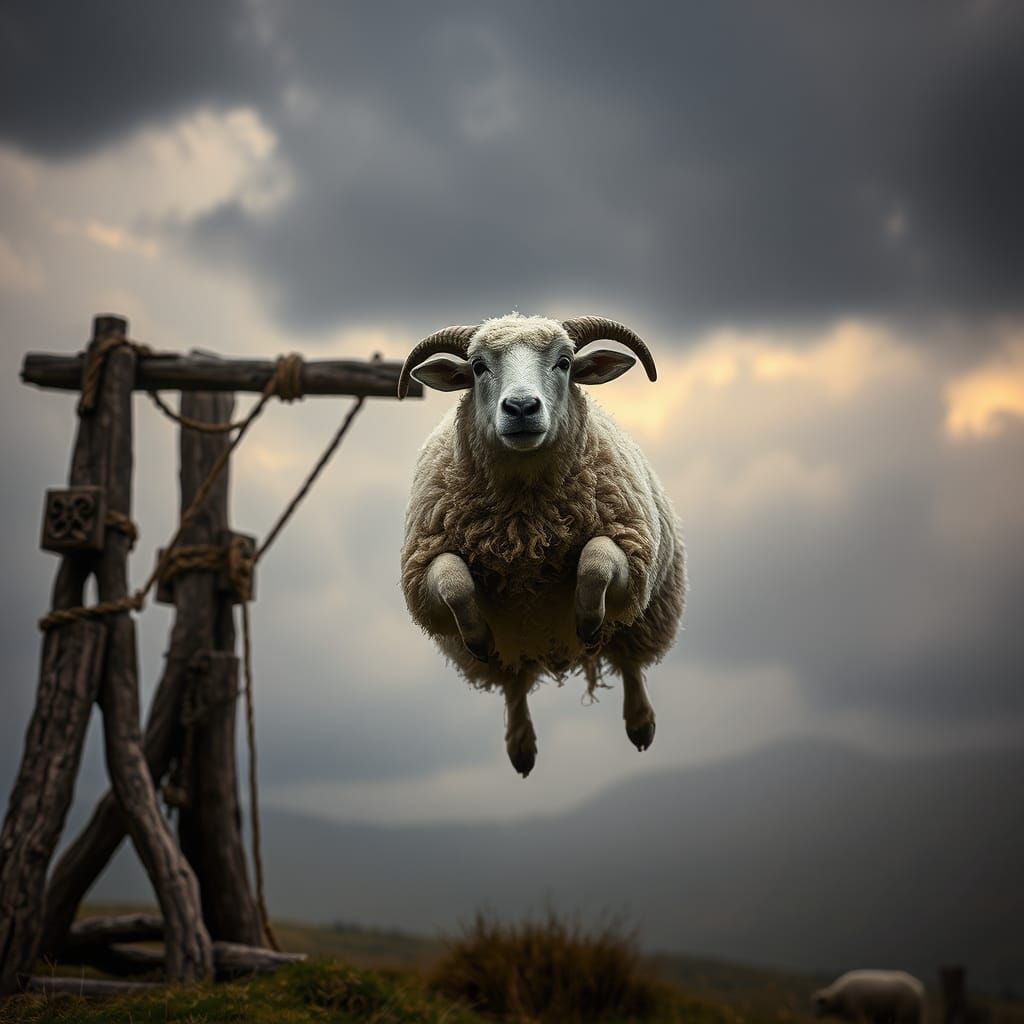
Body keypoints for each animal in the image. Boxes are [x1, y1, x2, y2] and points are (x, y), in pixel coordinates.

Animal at [398, 313, 686, 777]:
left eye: (564, 362)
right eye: (477, 367)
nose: (520, 408)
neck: (525, 525)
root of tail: (550, 654)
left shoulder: (629, 547)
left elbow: (596, 560)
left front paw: (588, 619)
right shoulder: (425, 564)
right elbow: (453, 581)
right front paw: (477, 635)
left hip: (648, 612)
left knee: (630, 660)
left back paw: (640, 724)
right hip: (512, 650)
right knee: (513, 685)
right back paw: (521, 748)